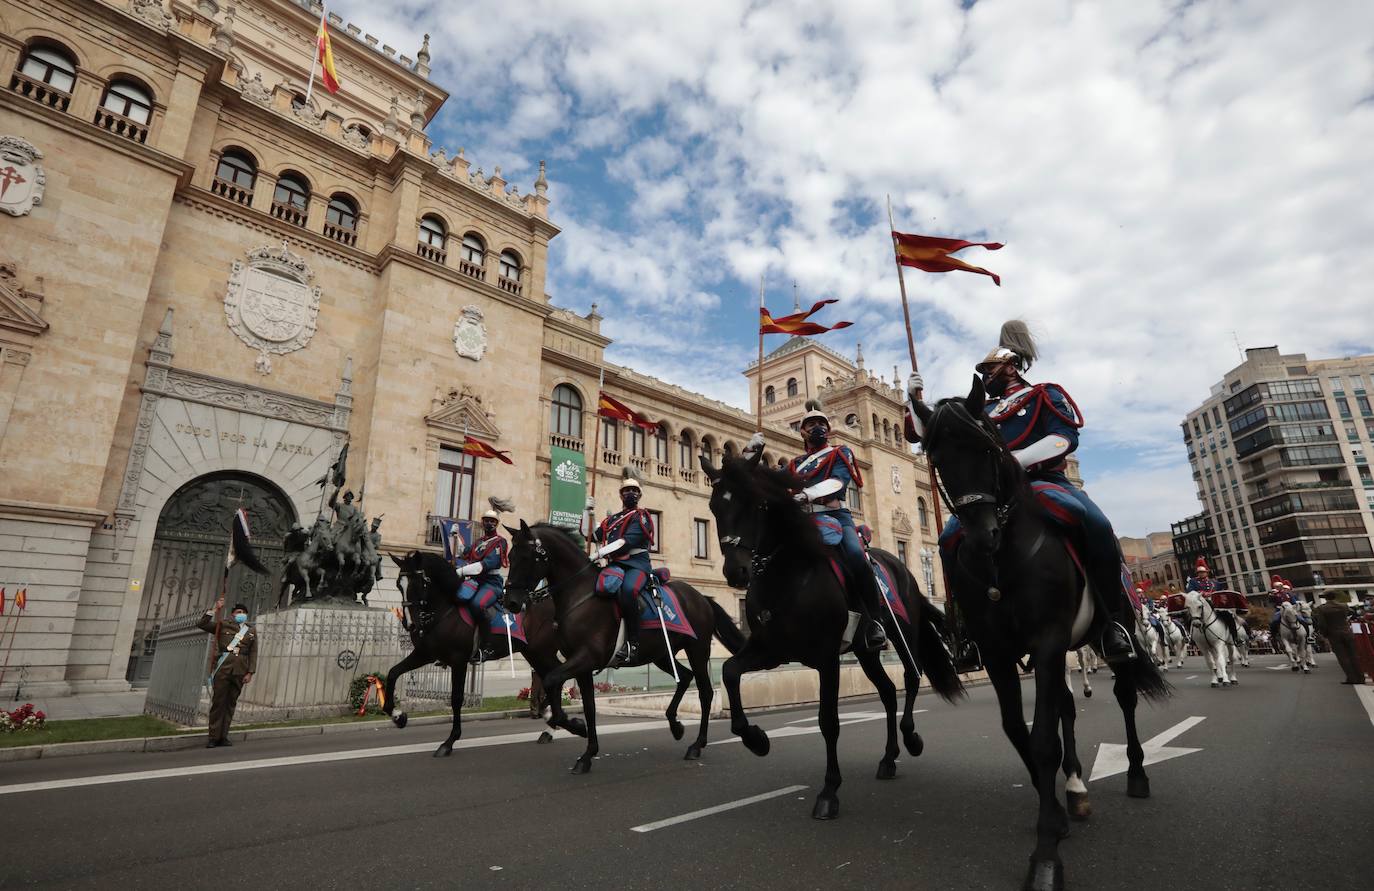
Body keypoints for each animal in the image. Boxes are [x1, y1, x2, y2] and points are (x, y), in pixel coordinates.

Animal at [384, 552, 555, 753]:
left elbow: (456, 698)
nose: (409, 624)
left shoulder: (459, 661)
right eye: (398, 584)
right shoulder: (424, 654)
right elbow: (393, 673)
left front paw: (449, 741)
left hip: (543, 652)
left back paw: (549, 720)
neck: (445, 610)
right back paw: (548, 722)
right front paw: (398, 716)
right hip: (535, 653)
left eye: (418, 584)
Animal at [502, 522, 747, 770]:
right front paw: (587, 754)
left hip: (697, 650)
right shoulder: (581, 665)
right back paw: (675, 725)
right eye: (510, 556)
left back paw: (696, 745)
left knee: (705, 692)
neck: (580, 595)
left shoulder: (587, 657)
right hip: (661, 655)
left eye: (527, 556)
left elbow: (552, 680)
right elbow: (589, 707)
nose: (510, 602)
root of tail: (701, 597)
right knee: (685, 677)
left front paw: (575, 726)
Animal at [703, 448, 961, 819]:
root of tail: (900, 565)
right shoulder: (770, 651)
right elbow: (728, 671)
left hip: (904, 635)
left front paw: (829, 791)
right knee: (887, 693)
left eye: (755, 503)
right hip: (866, 652)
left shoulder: (827, 658)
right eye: (714, 506)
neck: (788, 573)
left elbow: (828, 721)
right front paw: (756, 739)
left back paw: (911, 739)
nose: (736, 571)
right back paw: (888, 758)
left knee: (911, 678)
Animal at [917, 379, 1165, 891]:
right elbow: (1020, 731)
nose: (982, 536)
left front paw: (1047, 851)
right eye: (937, 458)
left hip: (1111, 635)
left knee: (1126, 697)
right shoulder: (999, 653)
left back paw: (1135, 774)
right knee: (1067, 709)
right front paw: (1057, 810)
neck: (1003, 560)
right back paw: (1075, 786)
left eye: (987, 446)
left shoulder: (1047, 641)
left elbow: (1044, 739)